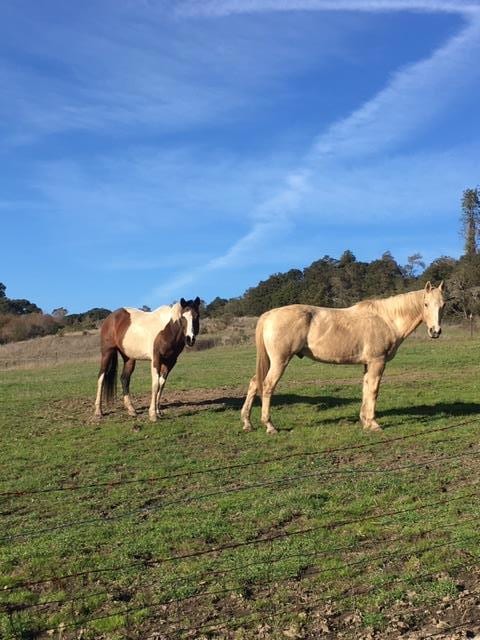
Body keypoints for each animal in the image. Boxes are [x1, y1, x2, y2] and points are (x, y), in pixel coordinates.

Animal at [242, 284, 444, 436]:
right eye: (426, 304)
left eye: (443, 304)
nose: (435, 331)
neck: (386, 319)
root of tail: (269, 314)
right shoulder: (377, 362)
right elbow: (374, 391)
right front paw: (374, 424)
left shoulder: (367, 364)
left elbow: (366, 389)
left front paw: (365, 421)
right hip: (280, 361)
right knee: (267, 386)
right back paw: (269, 426)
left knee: (253, 383)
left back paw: (247, 423)